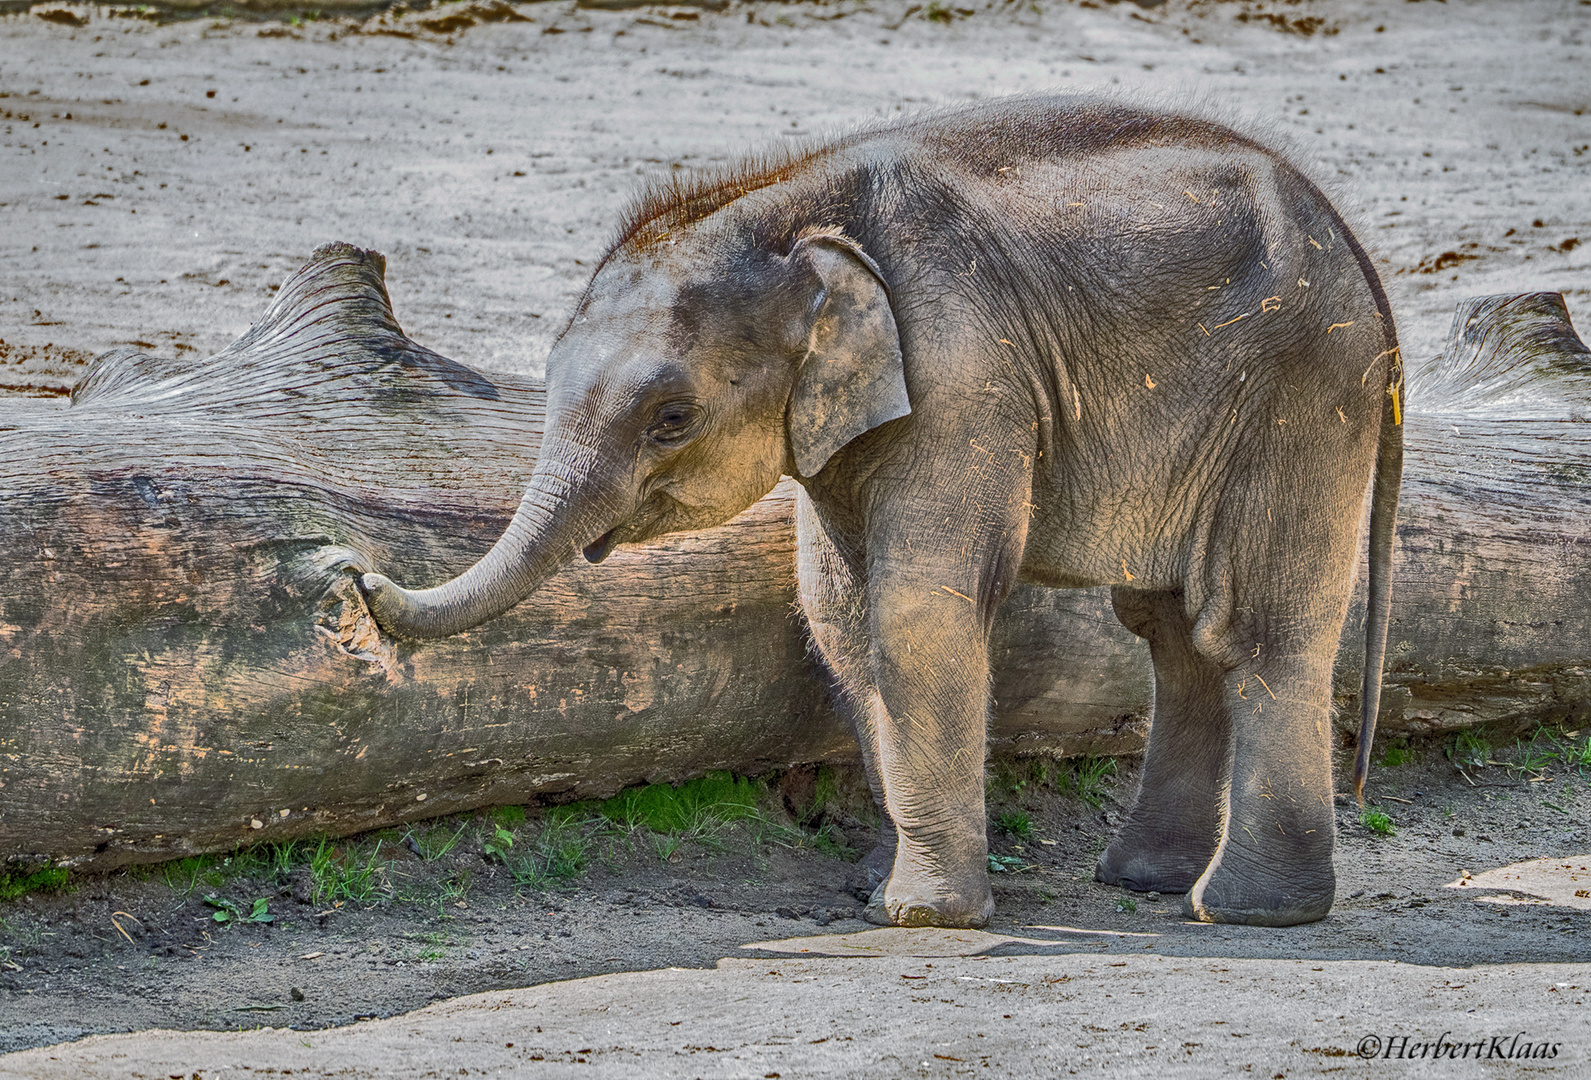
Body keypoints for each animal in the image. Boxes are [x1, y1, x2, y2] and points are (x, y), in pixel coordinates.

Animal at [357, 95, 1393, 928]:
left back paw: (1247, 913)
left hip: (1302, 394)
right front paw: (875, 887)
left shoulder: (962, 378)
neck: (788, 204)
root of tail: (1352, 242)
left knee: (1252, 629)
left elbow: (917, 608)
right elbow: (841, 617)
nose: (355, 576)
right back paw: (1142, 880)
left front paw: (920, 917)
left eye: (671, 418)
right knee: (1171, 630)